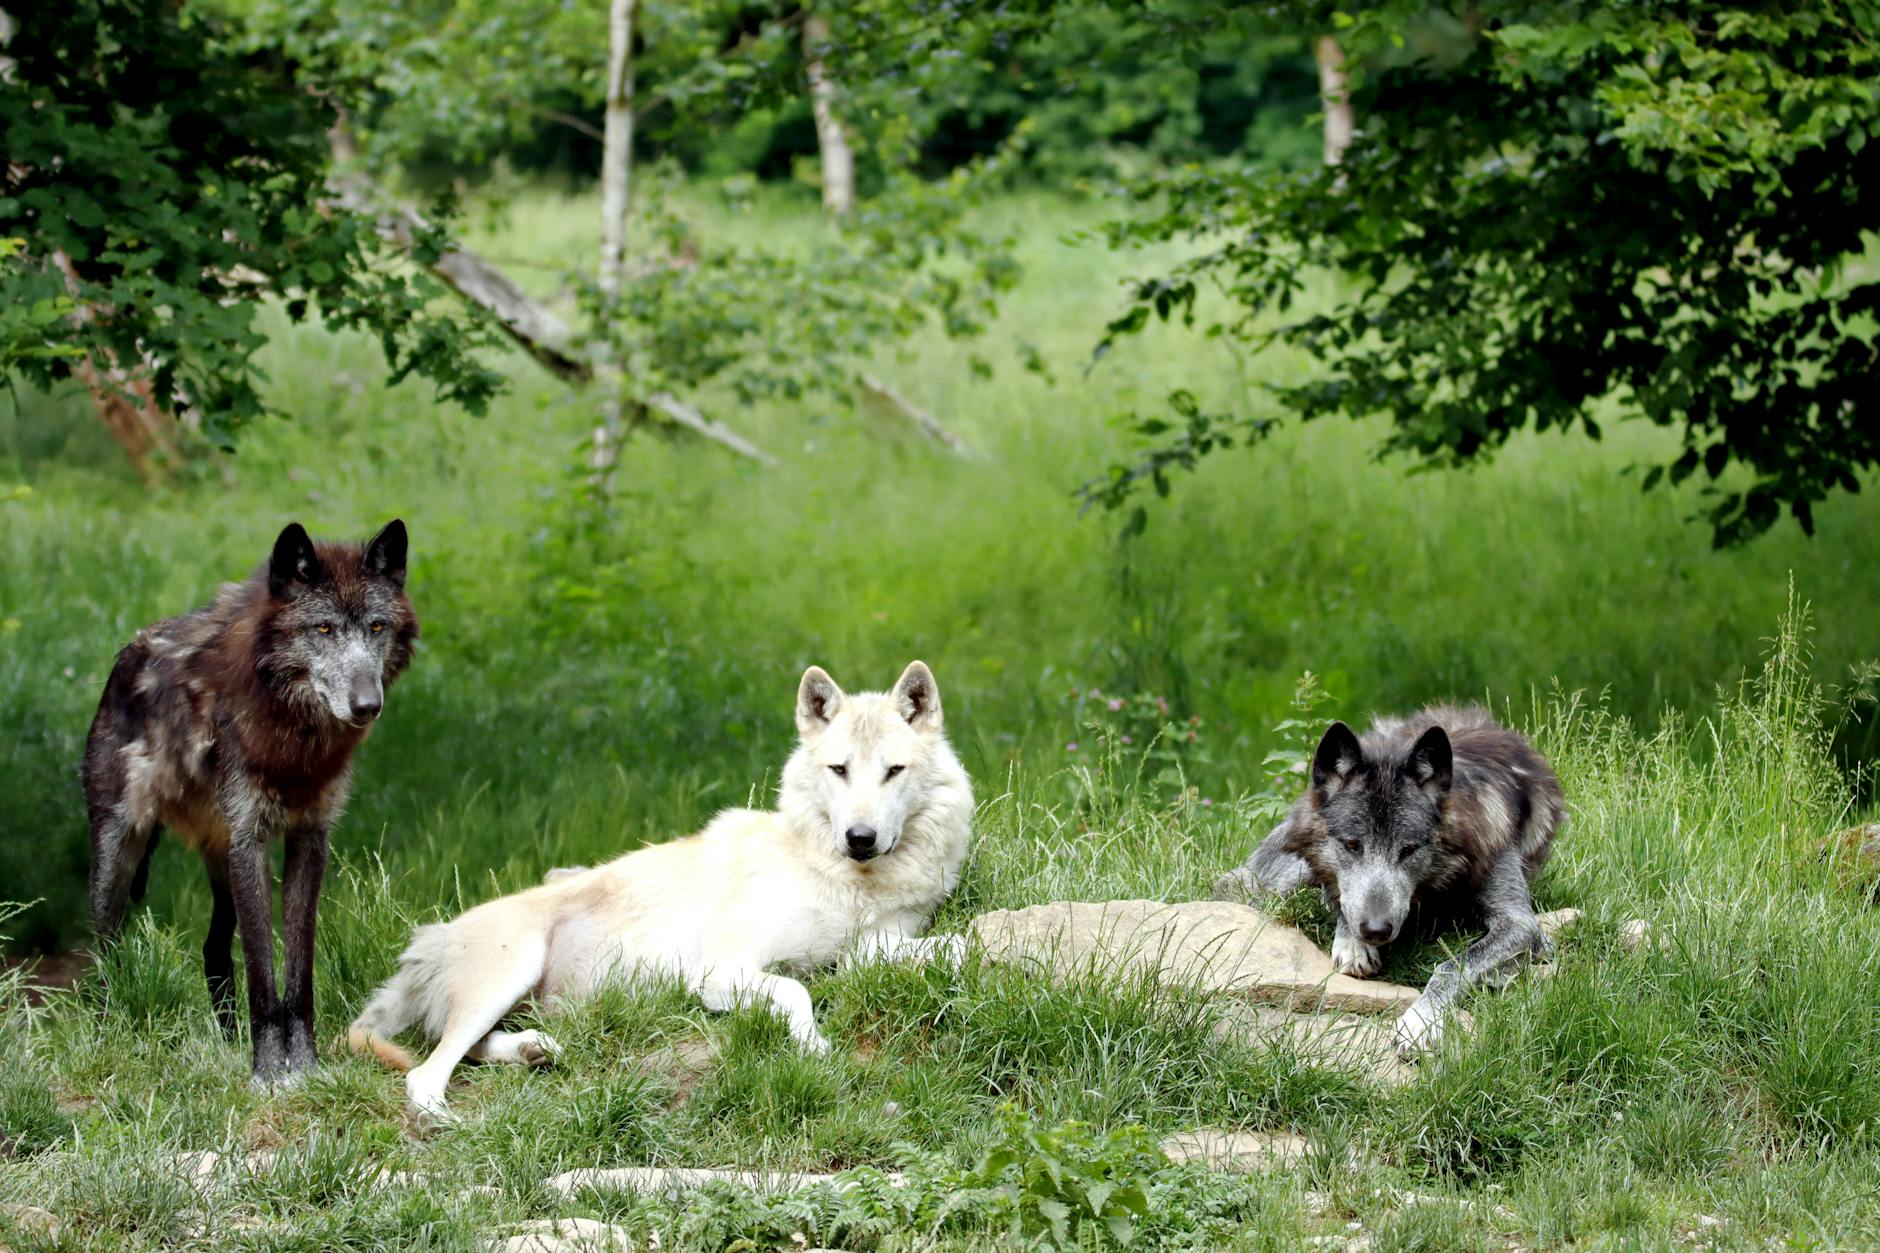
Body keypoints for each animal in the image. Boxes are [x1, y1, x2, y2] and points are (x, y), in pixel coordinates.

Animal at [83, 520, 416, 1082]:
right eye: (323, 629)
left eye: (375, 627)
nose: (367, 705)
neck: (294, 740)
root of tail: (126, 654)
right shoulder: (250, 842)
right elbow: (263, 973)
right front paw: (266, 1073)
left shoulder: (308, 839)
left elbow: (298, 972)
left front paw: (304, 1068)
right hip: (119, 853)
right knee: (102, 949)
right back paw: (106, 1036)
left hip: (219, 864)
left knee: (214, 950)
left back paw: (227, 1043)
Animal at [348, 660, 973, 1120]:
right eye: (839, 770)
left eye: (893, 771)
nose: (860, 838)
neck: (846, 879)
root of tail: (427, 943)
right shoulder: (720, 972)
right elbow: (796, 991)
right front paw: (814, 1046)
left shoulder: (872, 947)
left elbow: (941, 948)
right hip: (509, 972)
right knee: (426, 1074)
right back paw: (448, 1121)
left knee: (468, 1049)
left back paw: (533, 1050)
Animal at [1212, 705, 1563, 1056]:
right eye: (1351, 845)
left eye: (1408, 850)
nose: (1376, 931)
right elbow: (1342, 899)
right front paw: (1353, 943)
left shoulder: (1521, 924)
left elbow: (1453, 965)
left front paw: (1421, 1019)